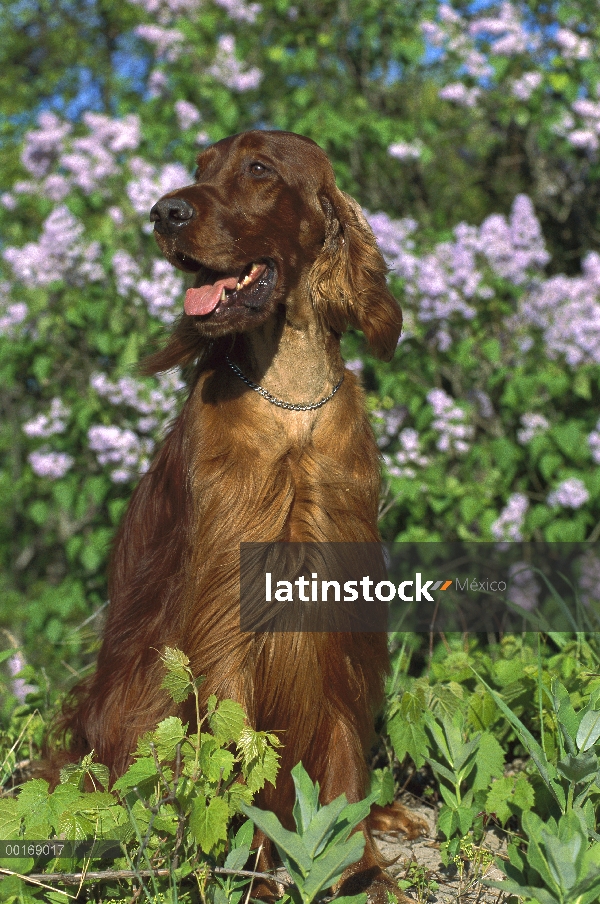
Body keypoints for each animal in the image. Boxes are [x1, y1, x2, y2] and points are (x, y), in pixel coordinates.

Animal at [52, 131, 422, 900]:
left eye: (259, 169)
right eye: (199, 167)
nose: (164, 212)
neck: (291, 403)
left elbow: (342, 755)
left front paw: (358, 868)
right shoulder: (225, 606)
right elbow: (233, 757)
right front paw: (242, 872)